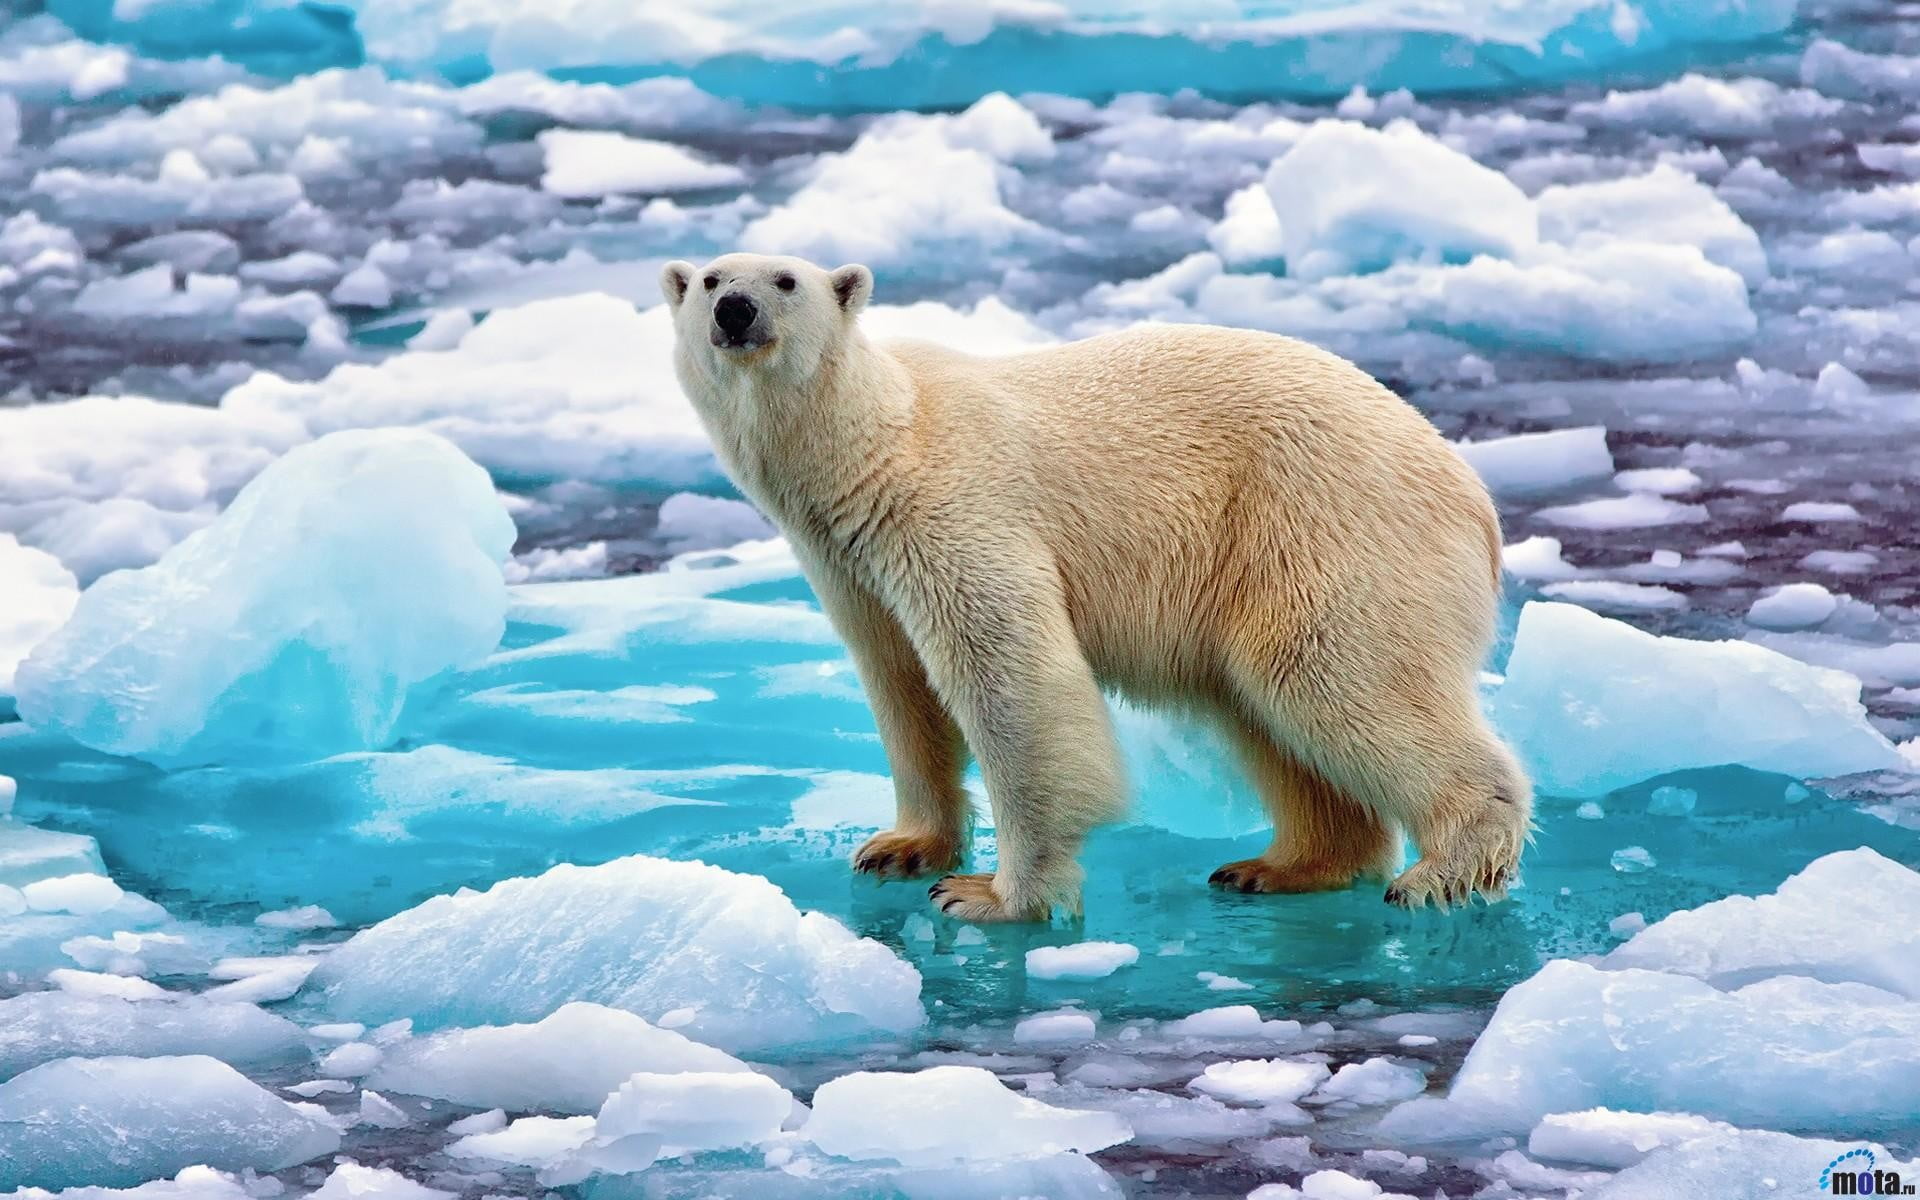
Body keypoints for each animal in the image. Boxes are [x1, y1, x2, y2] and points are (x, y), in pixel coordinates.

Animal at [662, 252, 1531, 923]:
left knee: (1332, 676)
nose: (735, 310)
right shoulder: (850, 563)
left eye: (785, 279)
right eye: (709, 278)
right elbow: (900, 685)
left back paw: (1440, 871)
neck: (876, 442)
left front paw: (992, 895)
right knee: (1267, 712)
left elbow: (1013, 679)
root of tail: (1472, 495)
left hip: (1325, 526)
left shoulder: (953, 508)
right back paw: (1278, 866)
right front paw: (899, 846)